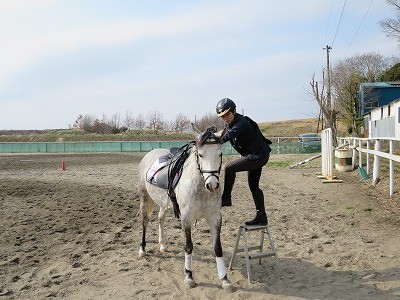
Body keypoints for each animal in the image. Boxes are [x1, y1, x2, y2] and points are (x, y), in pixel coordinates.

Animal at [138, 126, 233, 290]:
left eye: (220, 154)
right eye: (200, 155)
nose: (212, 185)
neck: (200, 187)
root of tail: (150, 153)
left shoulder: (215, 218)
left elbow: (217, 247)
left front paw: (224, 278)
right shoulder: (186, 218)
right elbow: (188, 246)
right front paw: (189, 276)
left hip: (164, 202)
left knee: (160, 218)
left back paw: (162, 245)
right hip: (145, 196)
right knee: (145, 221)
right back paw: (143, 249)